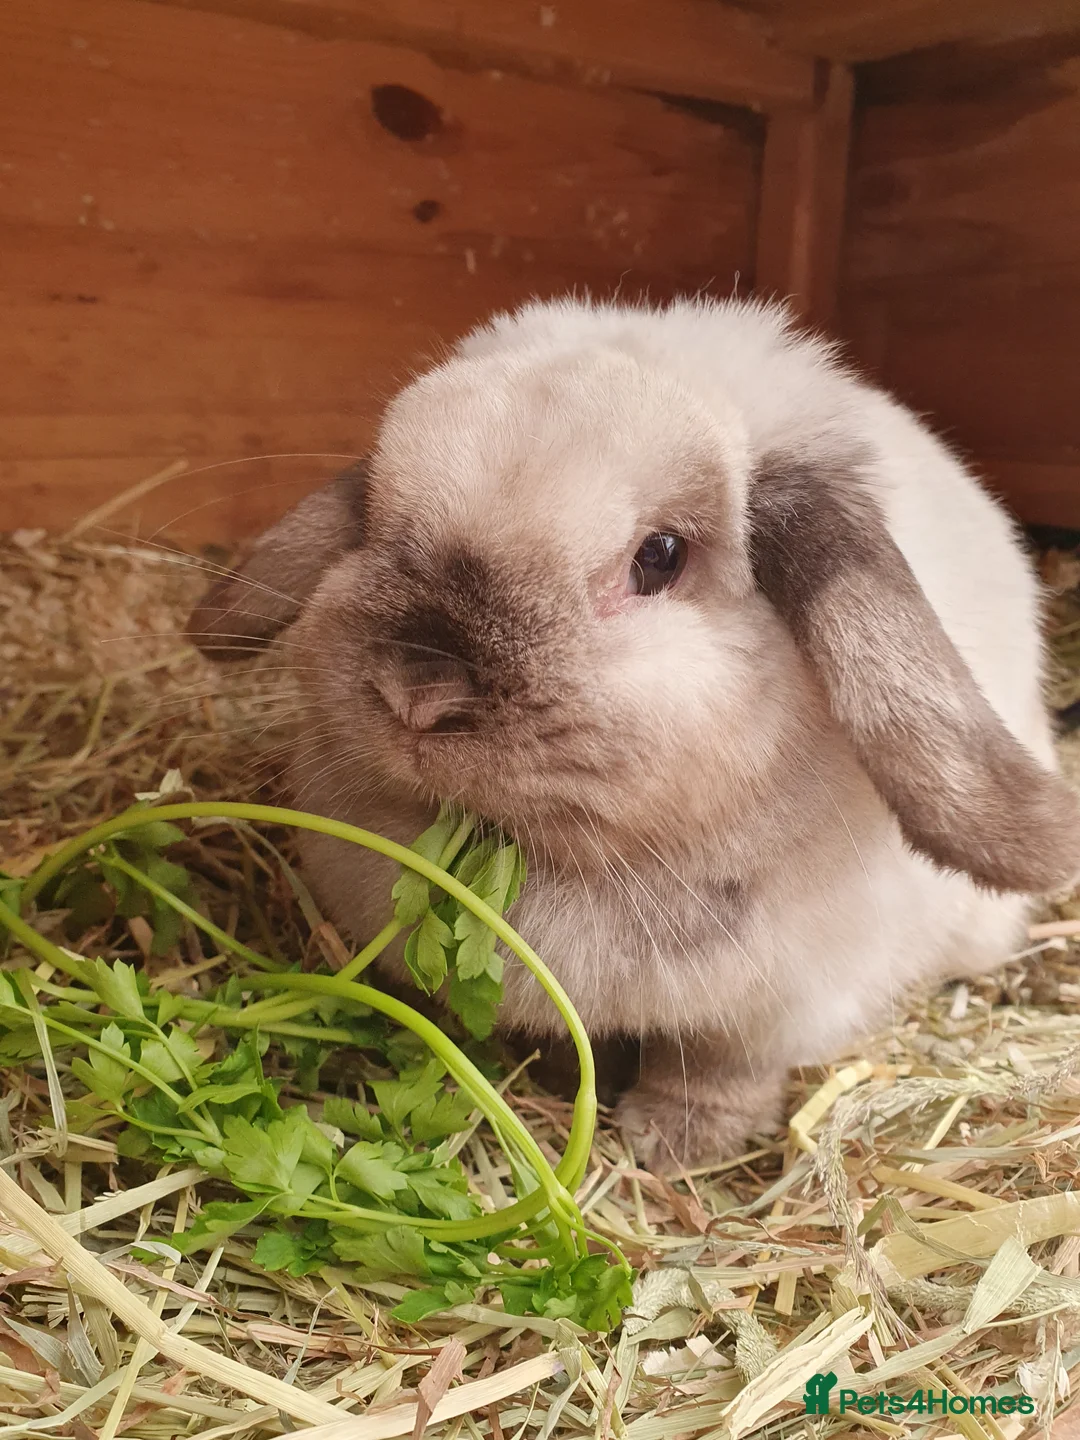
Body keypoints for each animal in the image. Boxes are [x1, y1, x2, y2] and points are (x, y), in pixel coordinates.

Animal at [188, 295, 1080, 1170]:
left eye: (660, 557)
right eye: (373, 512)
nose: (417, 693)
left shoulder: (780, 1003)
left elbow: (721, 1071)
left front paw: (675, 1143)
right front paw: (562, 1076)